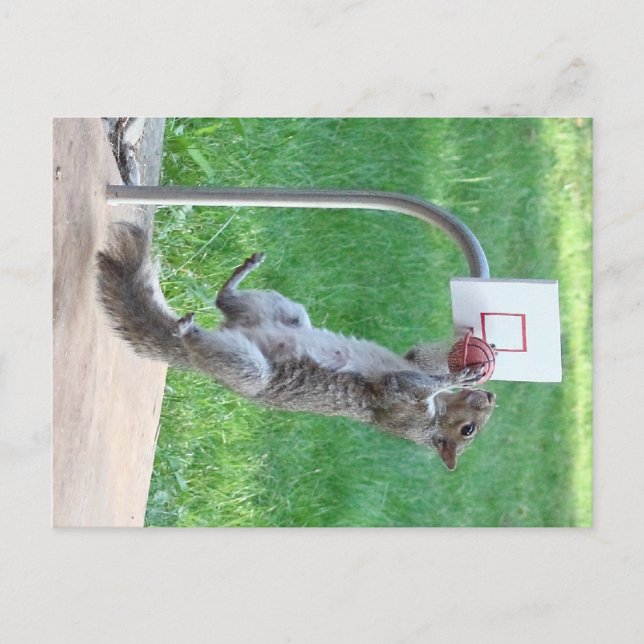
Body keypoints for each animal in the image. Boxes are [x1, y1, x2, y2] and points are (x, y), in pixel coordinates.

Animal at [96, 220, 496, 470]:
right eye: (469, 430)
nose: (491, 397)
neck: (432, 419)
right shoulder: (404, 389)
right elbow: (421, 369)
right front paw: (465, 369)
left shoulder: (400, 397)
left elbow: (415, 376)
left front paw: (462, 372)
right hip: (281, 310)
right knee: (224, 300)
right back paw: (239, 274)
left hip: (258, 354)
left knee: (218, 315)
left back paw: (189, 329)